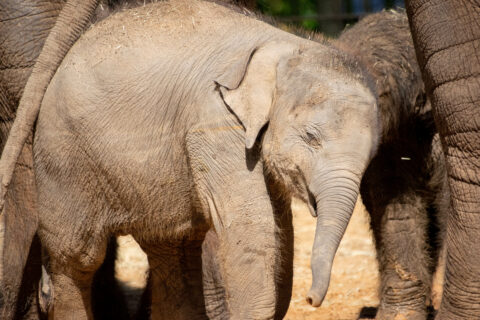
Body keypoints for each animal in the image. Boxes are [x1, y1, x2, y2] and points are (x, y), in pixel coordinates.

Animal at [1, 0, 380, 318]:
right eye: (311, 138)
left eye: (369, 157)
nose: (312, 299)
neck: (283, 46)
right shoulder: (214, 125)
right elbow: (250, 231)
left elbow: (278, 234)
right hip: (63, 155)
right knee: (78, 257)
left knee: (174, 252)